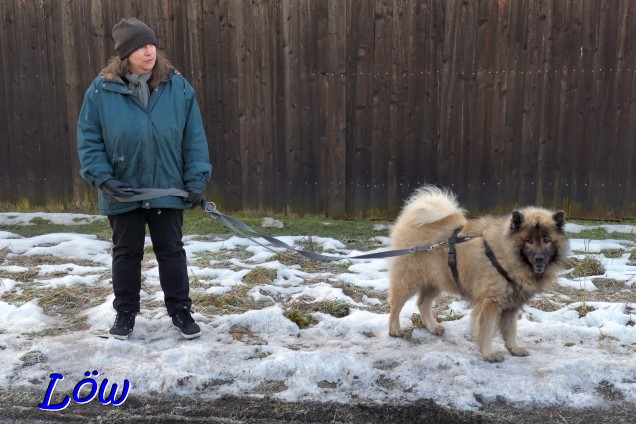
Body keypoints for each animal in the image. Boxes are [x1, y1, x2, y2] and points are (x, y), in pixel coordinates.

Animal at [388, 186, 572, 362]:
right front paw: (488, 354)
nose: (539, 259)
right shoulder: (490, 303)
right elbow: (487, 331)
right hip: (409, 280)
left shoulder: (511, 305)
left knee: (422, 304)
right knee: (396, 305)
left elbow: (511, 331)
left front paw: (514, 349)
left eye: (546, 240)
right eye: (529, 241)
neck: (504, 253)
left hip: (438, 279)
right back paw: (394, 329)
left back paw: (433, 327)